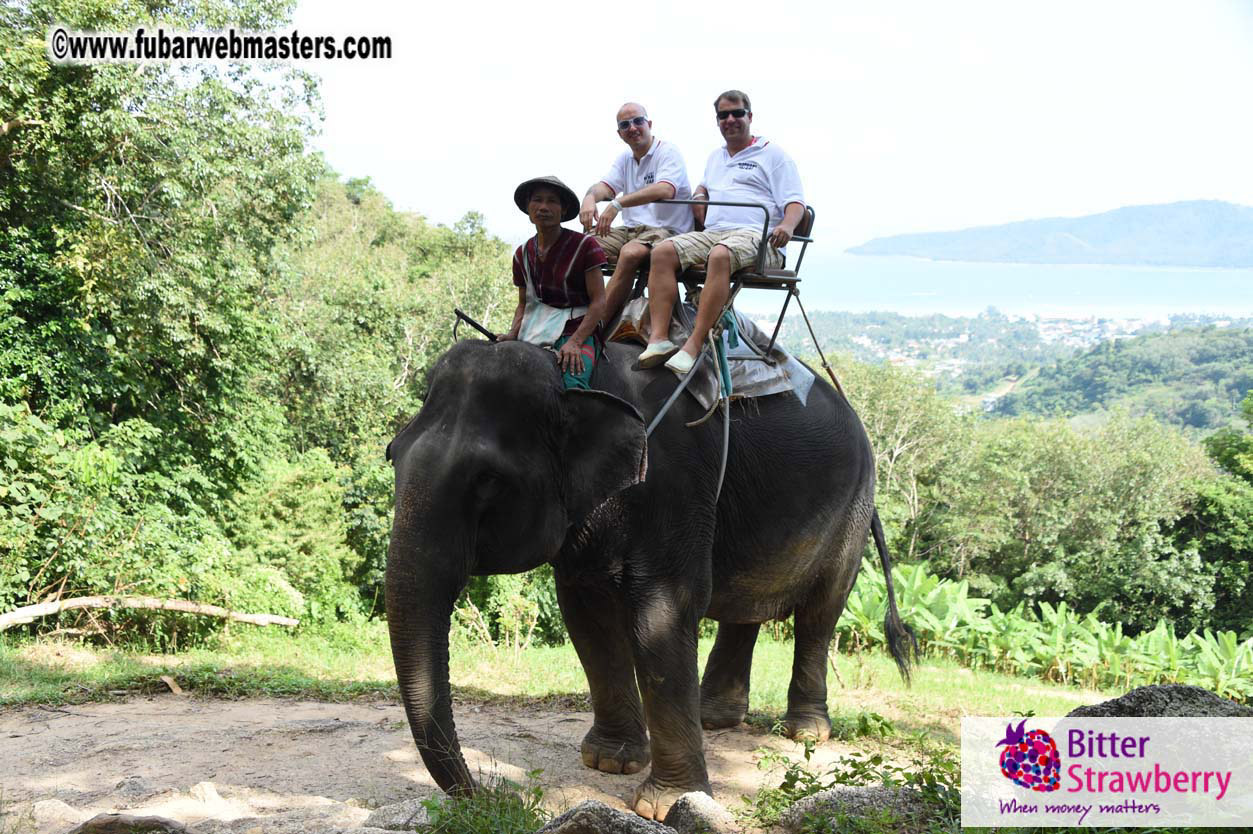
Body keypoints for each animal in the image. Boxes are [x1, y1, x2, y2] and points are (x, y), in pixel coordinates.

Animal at [384, 337, 914, 821]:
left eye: (488, 480)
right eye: (393, 454)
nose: (497, 795)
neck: (574, 377)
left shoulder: (675, 482)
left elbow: (661, 613)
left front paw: (665, 805)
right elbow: (588, 616)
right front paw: (610, 762)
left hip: (853, 509)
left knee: (819, 614)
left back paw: (804, 731)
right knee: (744, 609)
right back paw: (714, 718)